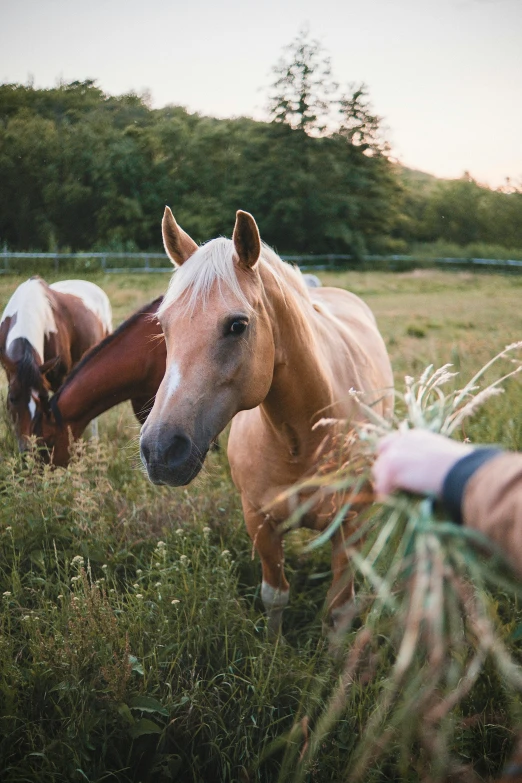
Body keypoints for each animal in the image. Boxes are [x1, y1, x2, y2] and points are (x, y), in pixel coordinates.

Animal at [138, 210, 390, 636]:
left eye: (237, 325)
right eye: (163, 324)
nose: (159, 449)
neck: (302, 439)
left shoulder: (349, 525)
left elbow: (340, 609)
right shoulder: (258, 520)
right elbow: (275, 595)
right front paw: (273, 647)